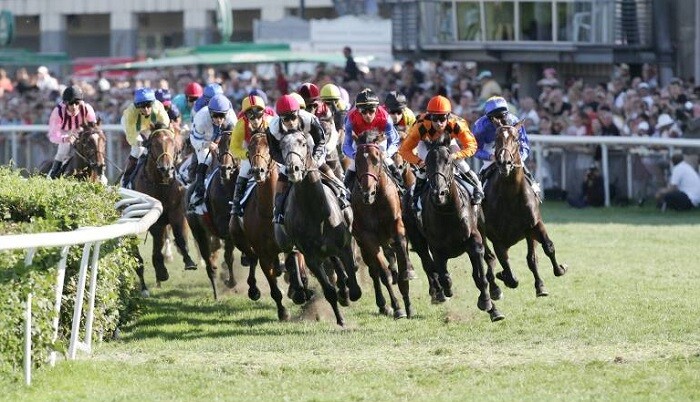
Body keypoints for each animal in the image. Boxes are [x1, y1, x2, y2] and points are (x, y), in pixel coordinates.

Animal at [133, 126, 197, 292]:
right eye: (154, 144)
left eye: (172, 143)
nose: (166, 168)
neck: (160, 184)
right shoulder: (154, 218)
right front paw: (161, 270)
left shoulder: (176, 211)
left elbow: (179, 236)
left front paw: (189, 261)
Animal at [186, 130, 241, 300]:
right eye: (220, 145)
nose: (225, 169)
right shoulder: (223, 228)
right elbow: (228, 256)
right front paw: (230, 282)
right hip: (199, 232)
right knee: (209, 263)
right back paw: (216, 292)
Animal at [352, 132, 412, 320]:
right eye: (357, 160)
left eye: (376, 159)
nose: (367, 193)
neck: (376, 201)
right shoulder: (367, 237)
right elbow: (383, 273)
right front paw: (398, 307)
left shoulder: (397, 225)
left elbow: (402, 256)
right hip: (363, 245)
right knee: (374, 271)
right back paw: (383, 305)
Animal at [400, 137, 504, 322]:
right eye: (427, 163)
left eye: (448, 162)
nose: (439, 193)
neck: (448, 212)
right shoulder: (437, 249)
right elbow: (443, 276)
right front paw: (445, 291)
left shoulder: (474, 240)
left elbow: (480, 277)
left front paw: (489, 304)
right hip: (417, 239)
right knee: (428, 265)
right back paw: (438, 293)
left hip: (482, 228)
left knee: (489, 258)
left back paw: (495, 290)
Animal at [482, 121, 568, 296]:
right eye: (496, 137)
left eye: (516, 139)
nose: (504, 162)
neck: (510, 195)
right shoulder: (496, 237)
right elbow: (505, 264)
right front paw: (505, 277)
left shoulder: (534, 225)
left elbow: (546, 248)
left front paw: (556, 272)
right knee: (489, 257)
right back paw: (495, 285)